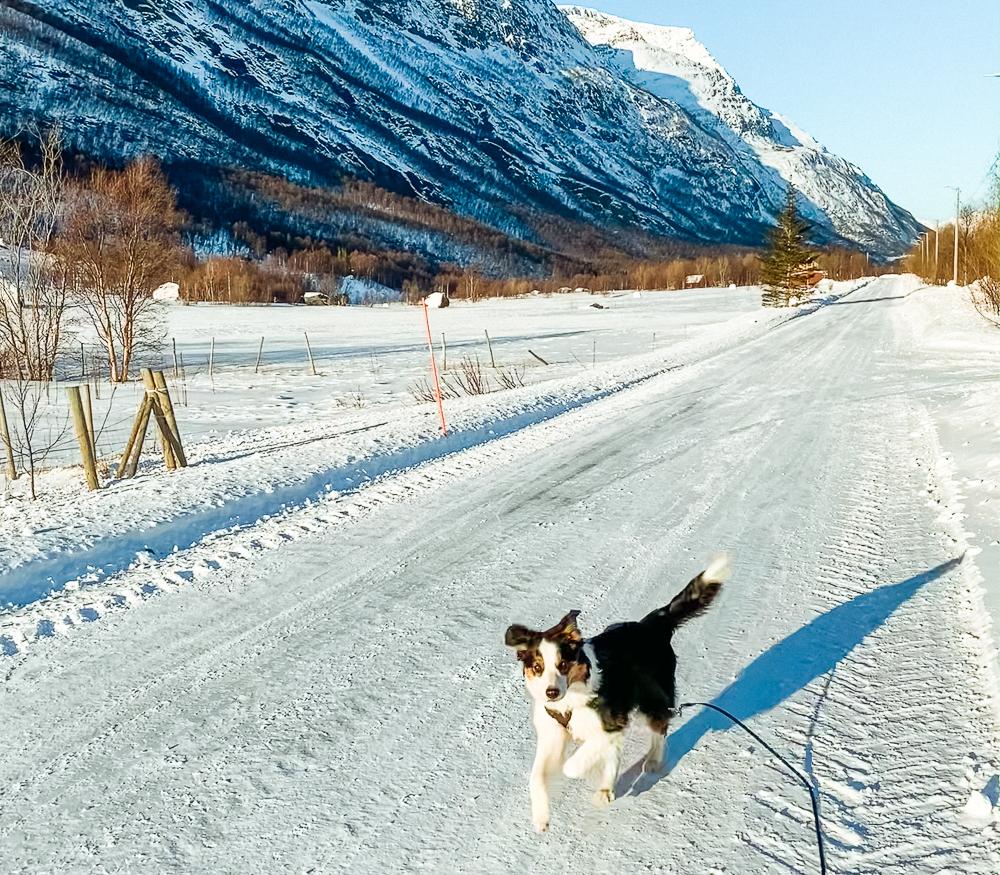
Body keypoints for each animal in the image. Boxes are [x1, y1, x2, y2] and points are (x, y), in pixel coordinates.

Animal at [504, 556, 732, 832]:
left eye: (563, 664)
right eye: (538, 667)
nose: (551, 692)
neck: (571, 700)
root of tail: (650, 626)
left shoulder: (610, 724)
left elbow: (573, 764)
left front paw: (579, 769)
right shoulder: (553, 735)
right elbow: (536, 776)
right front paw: (541, 817)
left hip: (650, 697)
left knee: (659, 726)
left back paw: (651, 762)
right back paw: (607, 788)